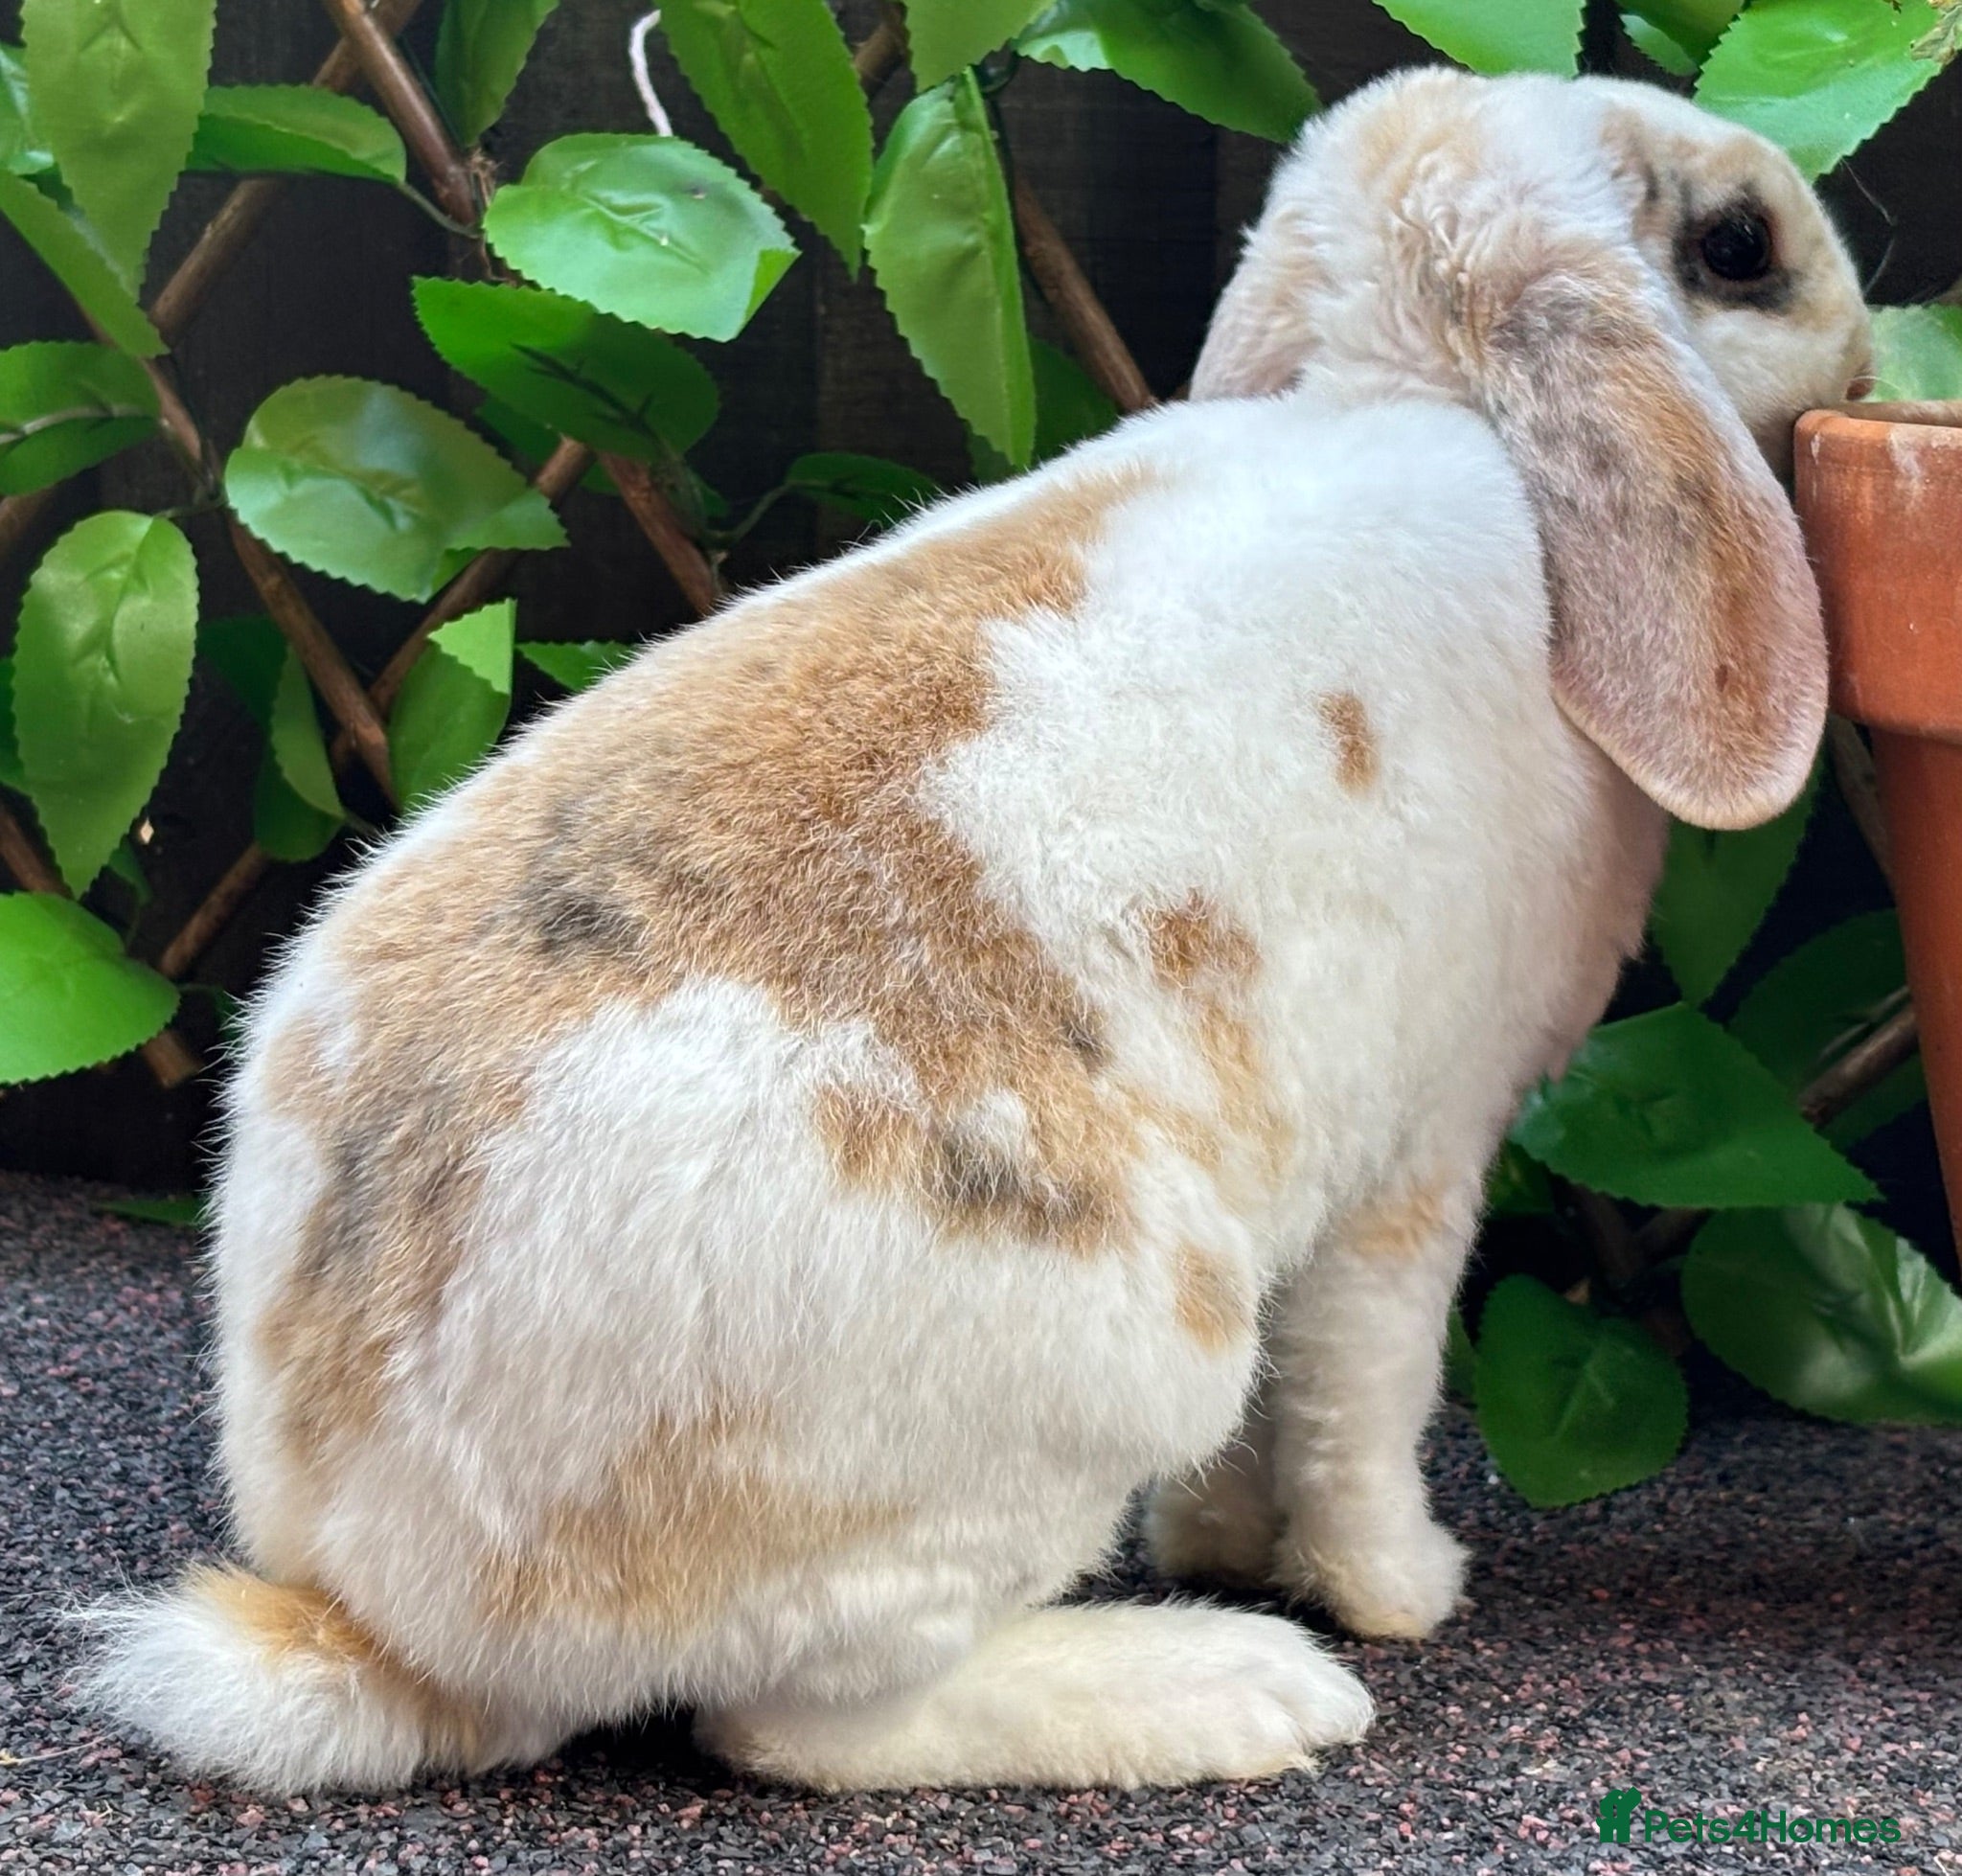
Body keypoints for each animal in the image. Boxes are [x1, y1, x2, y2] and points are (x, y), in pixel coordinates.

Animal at [82, 66, 1869, 1794]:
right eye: (1739, 246)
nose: (1864, 345)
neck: (1415, 393)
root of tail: (395, 1613)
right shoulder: (1416, 1167)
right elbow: (1363, 1398)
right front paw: (1401, 1589)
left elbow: (1269, 1440)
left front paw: (1220, 1540)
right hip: (1098, 1373)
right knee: (802, 1731)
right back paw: (1236, 1686)